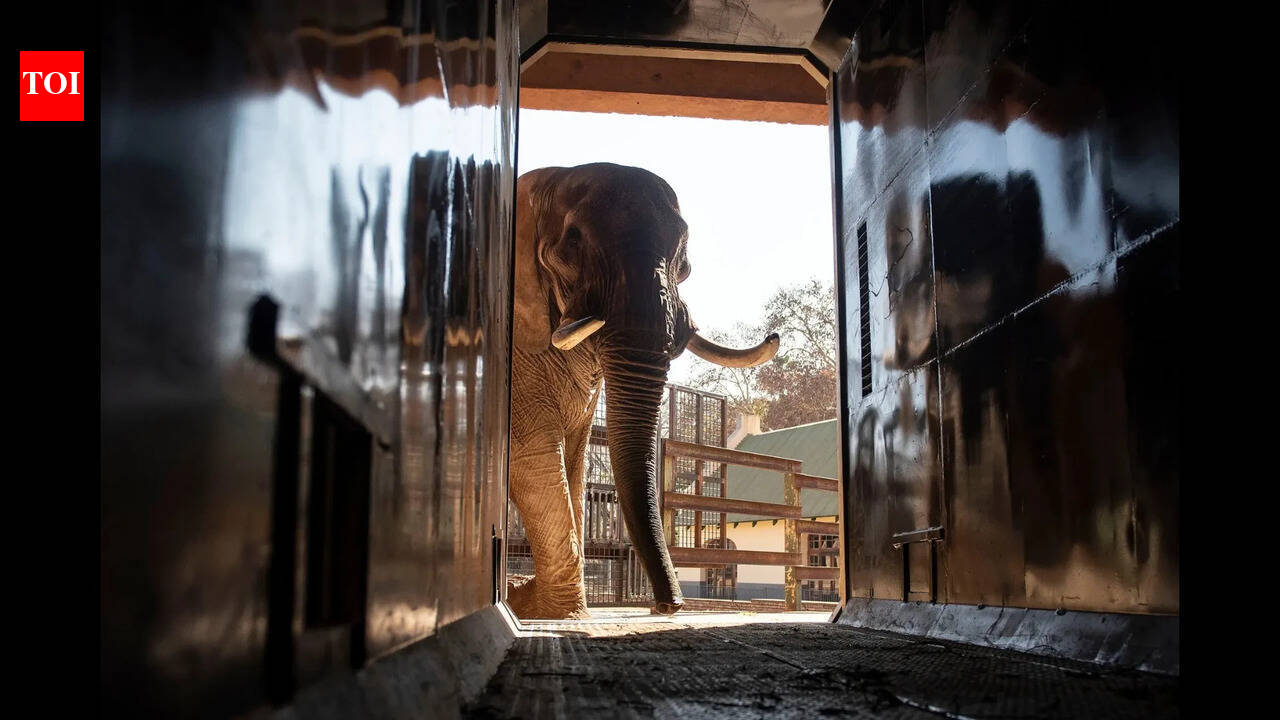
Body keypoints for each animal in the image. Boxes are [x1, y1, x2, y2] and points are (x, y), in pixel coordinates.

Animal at [506, 162, 779, 619]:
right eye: (571, 245)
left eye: (684, 265)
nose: (668, 606)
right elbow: (532, 456)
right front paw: (552, 611)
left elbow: (573, 464)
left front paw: (537, 605)